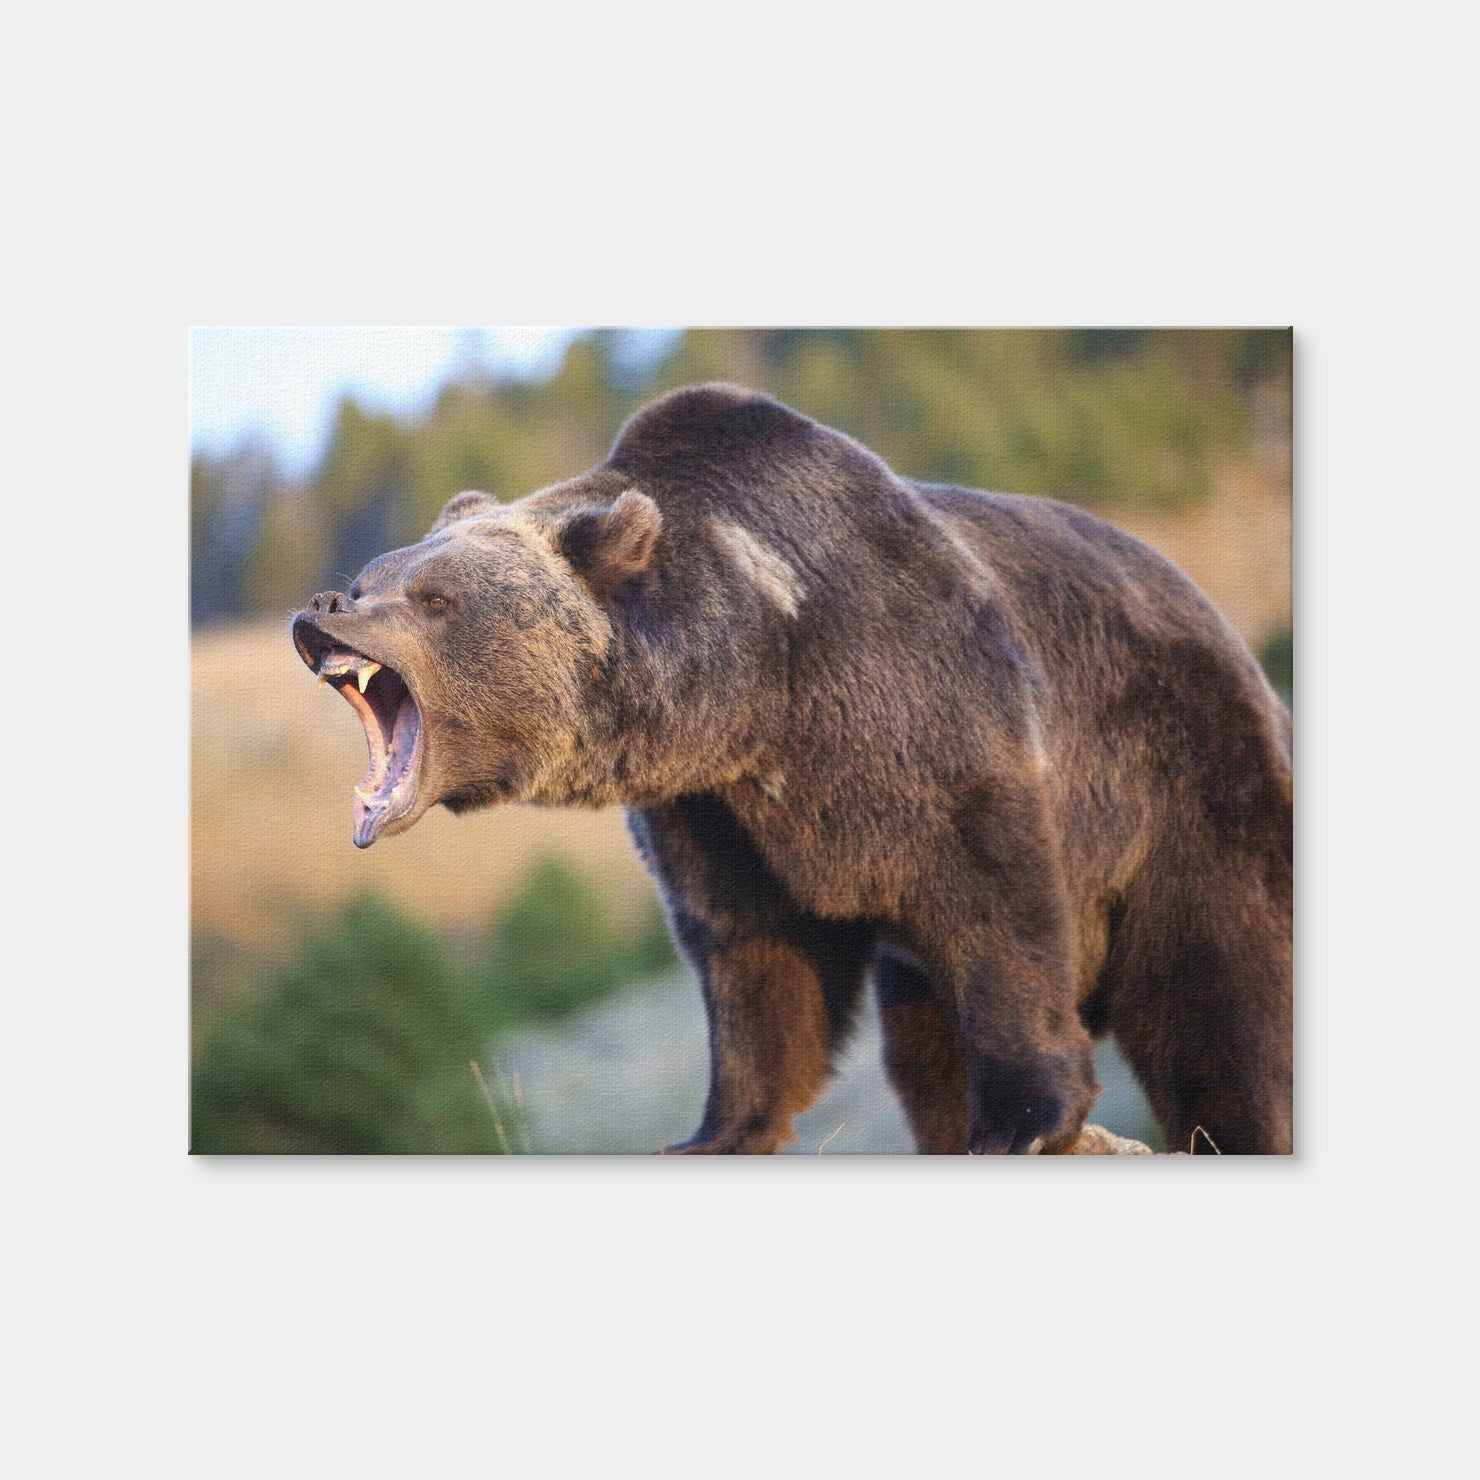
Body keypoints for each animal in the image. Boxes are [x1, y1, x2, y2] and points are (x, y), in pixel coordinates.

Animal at [291, 383, 1293, 1155]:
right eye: (374, 573)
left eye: (433, 597)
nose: (323, 607)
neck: (758, 685)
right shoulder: (715, 812)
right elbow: (753, 956)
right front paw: (716, 1130)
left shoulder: (926, 713)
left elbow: (997, 906)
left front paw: (1024, 1119)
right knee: (923, 1048)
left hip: (1191, 789)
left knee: (1219, 1004)